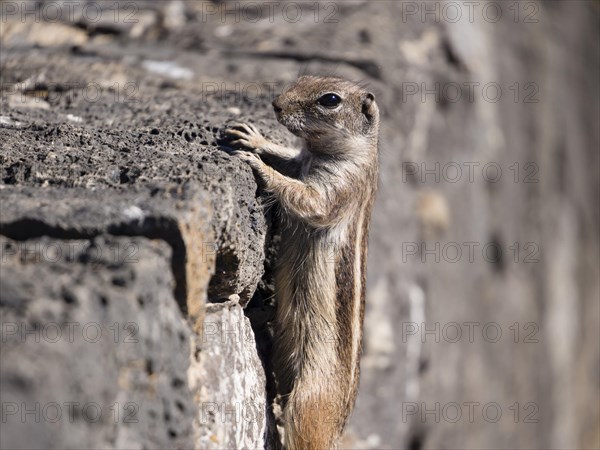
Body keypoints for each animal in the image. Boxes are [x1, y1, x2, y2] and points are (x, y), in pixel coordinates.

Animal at [225, 75, 380, 448]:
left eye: (330, 100)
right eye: (303, 79)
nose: (276, 104)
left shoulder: (338, 189)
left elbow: (305, 198)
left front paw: (258, 165)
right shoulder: (301, 161)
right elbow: (289, 159)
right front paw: (254, 138)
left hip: (308, 404)